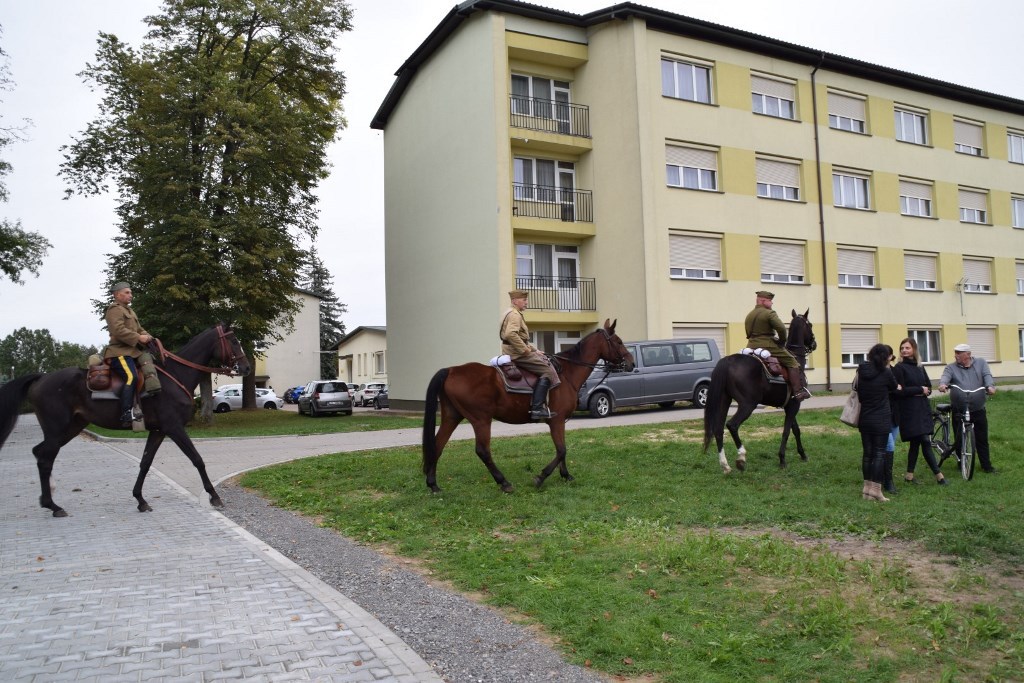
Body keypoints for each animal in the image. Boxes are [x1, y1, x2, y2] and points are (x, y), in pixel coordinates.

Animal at [0, 324, 250, 517]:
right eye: (234, 340)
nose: (246, 367)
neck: (175, 376)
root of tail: (41, 378)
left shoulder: (158, 430)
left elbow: (145, 463)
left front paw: (140, 499)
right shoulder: (174, 428)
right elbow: (197, 459)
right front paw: (214, 496)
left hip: (70, 429)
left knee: (40, 453)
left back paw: (49, 500)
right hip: (57, 430)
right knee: (45, 459)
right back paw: (53, 505)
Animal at [422, 318, 634, 493]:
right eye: (618, 342)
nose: (631, 363)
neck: (567, 373)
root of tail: (451, 370)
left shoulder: (559, 422)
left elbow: (562, 449)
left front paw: (566, 475)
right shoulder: (556, 420)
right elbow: (561, 450)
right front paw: (541, 477)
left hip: (452, 416)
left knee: (437, 445)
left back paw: (433, 485)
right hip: (481, 420)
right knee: (482, 451)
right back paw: (504, 483)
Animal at [702, 310, 816, 473]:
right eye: (810, 325)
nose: (814, 343)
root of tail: (728, 361)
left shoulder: (789, 405)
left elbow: (795, 429)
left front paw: (802, 454)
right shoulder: (795, 404)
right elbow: (787, 431)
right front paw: (782, 459)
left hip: (724, 401)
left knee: (718, 429)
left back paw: (725, 465)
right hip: (748, 404)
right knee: (732, 425)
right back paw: (741, 458)